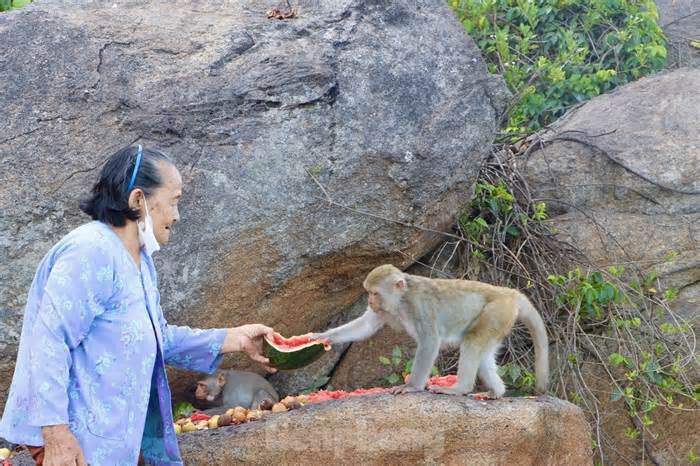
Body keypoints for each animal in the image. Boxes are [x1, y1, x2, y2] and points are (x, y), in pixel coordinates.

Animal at [310, 264, 548, 398]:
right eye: (368, 292)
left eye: (375, 293)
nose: (369, 301)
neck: (402, 300)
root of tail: (509, 293)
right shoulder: (386, 310)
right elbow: (365, 326)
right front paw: (323, 337)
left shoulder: (419, 305)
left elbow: (430, 341)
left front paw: (412, 387)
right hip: (500, 319)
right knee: (483, 353)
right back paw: (496, 392)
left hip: (496, 311)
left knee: (472, 342)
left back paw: (460, 388)